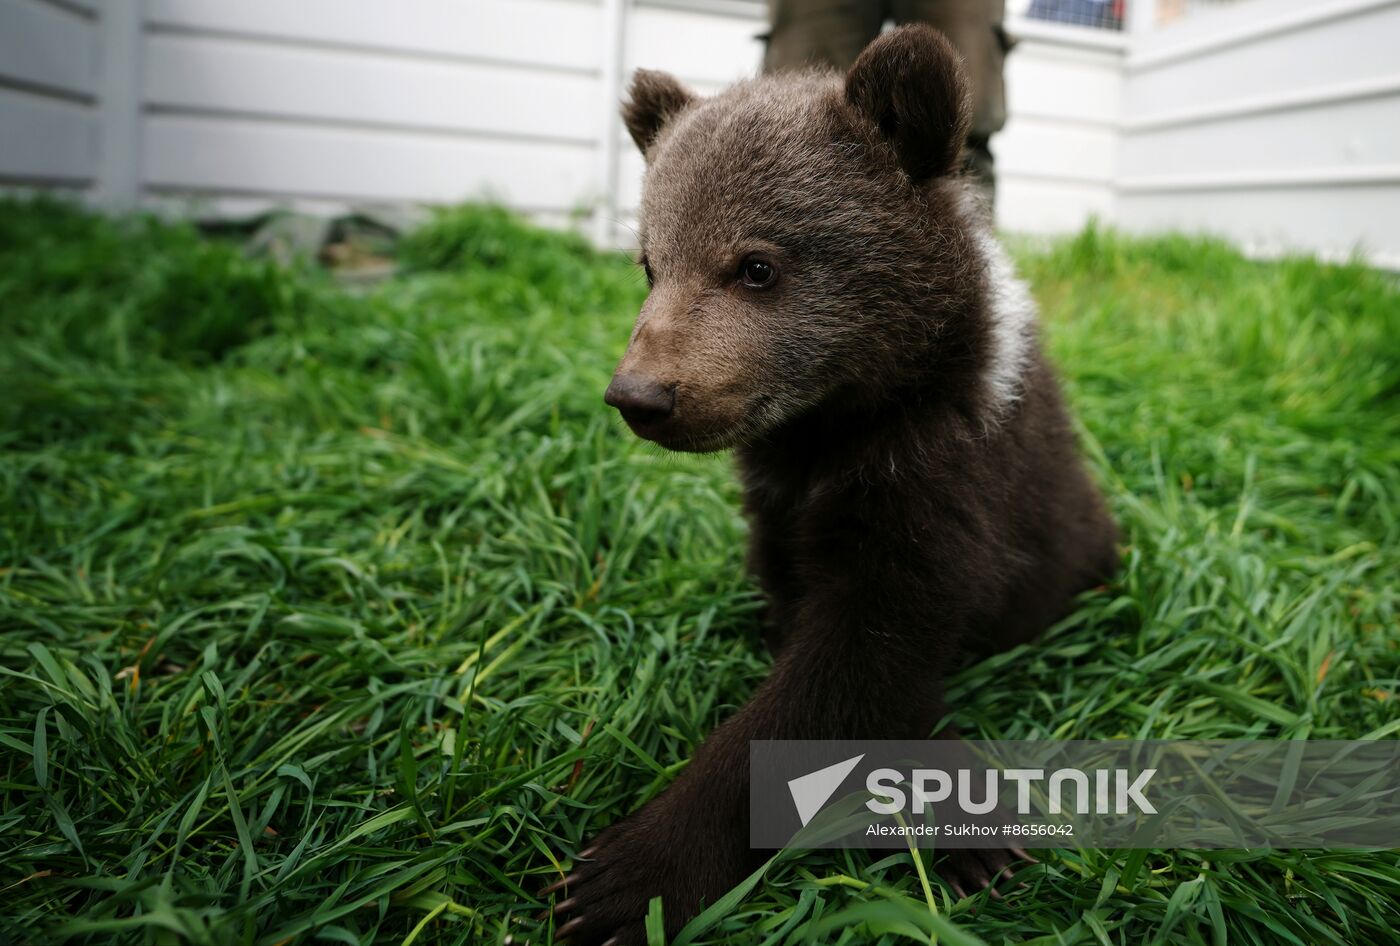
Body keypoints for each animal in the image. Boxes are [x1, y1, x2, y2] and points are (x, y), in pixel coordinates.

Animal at [545, 24, 1120, 945]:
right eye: (649, 264)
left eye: (755, 265)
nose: (641, 397)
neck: (837, 424)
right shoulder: (779, 501)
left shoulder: (939, 484)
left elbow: (846, 671)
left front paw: (628, 879)